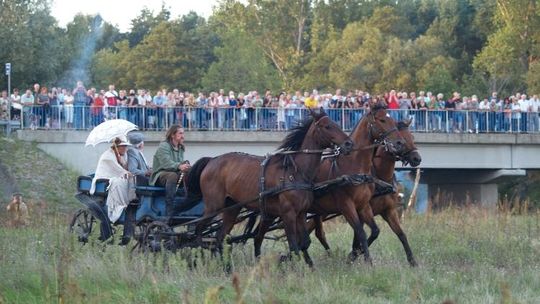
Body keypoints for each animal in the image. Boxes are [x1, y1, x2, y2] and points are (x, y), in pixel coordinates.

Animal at [187, 110, 354, 266]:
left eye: (336, 123)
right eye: (327, 126)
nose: (349, 144)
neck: (295, 171)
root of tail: (211, 160)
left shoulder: (301, 213)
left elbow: (304, 242)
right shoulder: (288, 214)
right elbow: (294, 245)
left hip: (231, 208)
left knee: (219, 238)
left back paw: (226, 267)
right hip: (213, 206)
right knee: (198, 230)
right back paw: (196, 259)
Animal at [253, 104, 410, 264]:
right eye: (382, 120)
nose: (400, 143)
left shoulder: (368, 206)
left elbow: (381, 232)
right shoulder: (347, 205)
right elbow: (361, 233)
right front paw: (360, 259)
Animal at [310, 119, 420, 266]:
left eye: (412, 137)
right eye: (401, 140)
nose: (417, 158)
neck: (379, 177)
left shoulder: (389, 211)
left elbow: (400, 234)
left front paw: (413, 261)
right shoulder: (360, 210)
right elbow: (360, 236)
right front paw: (353, 255)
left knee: (317, 233)